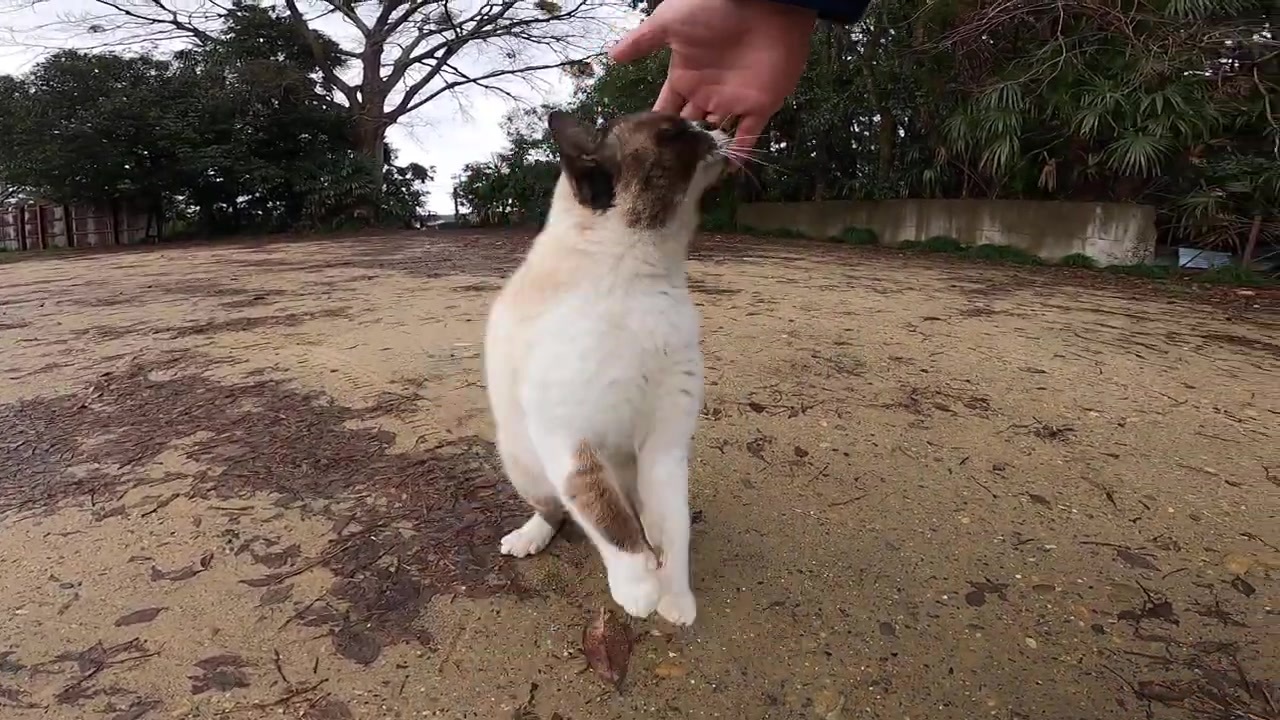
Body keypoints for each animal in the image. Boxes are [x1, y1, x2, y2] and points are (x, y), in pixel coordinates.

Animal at [481, 107, 732, 622]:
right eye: (675, 131)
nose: (717, 127)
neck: (642, 278)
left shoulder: (665, 443)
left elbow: (674, 527)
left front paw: (674, 597)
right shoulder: (570, 438)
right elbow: (605, 515)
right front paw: (638, 588)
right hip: (522, 462)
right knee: (556, 509)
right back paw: (529, 537)